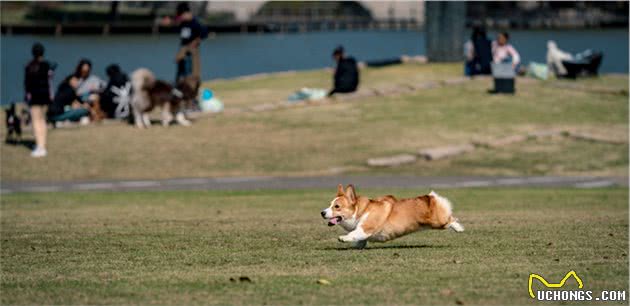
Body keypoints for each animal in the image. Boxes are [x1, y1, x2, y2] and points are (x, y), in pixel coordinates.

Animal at [320, 184, 464, 249]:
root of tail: (430, 198)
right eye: (329, 204)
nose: (322, 213)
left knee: (451, 219)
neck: (360, 211)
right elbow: (360, 240)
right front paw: (358, 246)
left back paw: (459, 228)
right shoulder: (363, 233)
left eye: (337, 206)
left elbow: (354, 233)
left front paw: (343, 238)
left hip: (438, 222)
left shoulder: (365, 228)